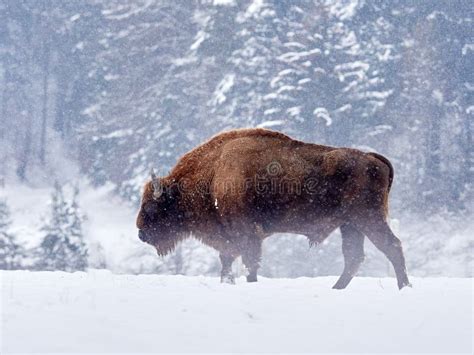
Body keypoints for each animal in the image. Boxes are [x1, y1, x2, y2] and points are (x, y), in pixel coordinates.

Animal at [135, 129, 410, 290]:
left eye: (151, 205)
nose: (140, 233)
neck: (214, 173)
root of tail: (372, 158)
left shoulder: (246, 234)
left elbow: (249, 262)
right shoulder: (230, 236)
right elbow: (228, 261)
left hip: (367, 219)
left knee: (392, 247)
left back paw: (403, 287)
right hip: (350, 225)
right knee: (354, 257)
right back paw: (336, 289)